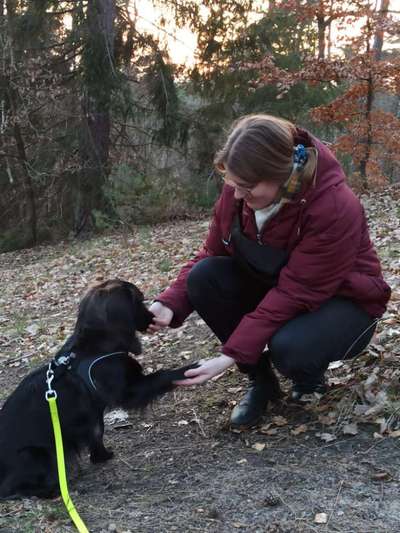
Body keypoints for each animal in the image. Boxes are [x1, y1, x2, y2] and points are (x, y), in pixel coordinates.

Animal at [0, 278, 194, 498]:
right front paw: (187, 370)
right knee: (12, 488)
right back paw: (55, 488)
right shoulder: (129, 391)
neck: (95, 346)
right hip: (39, 454)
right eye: (139, 299)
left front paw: (102, 456)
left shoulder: (94, 414)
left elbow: (97, 433)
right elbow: (161, 375)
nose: (154, 317)